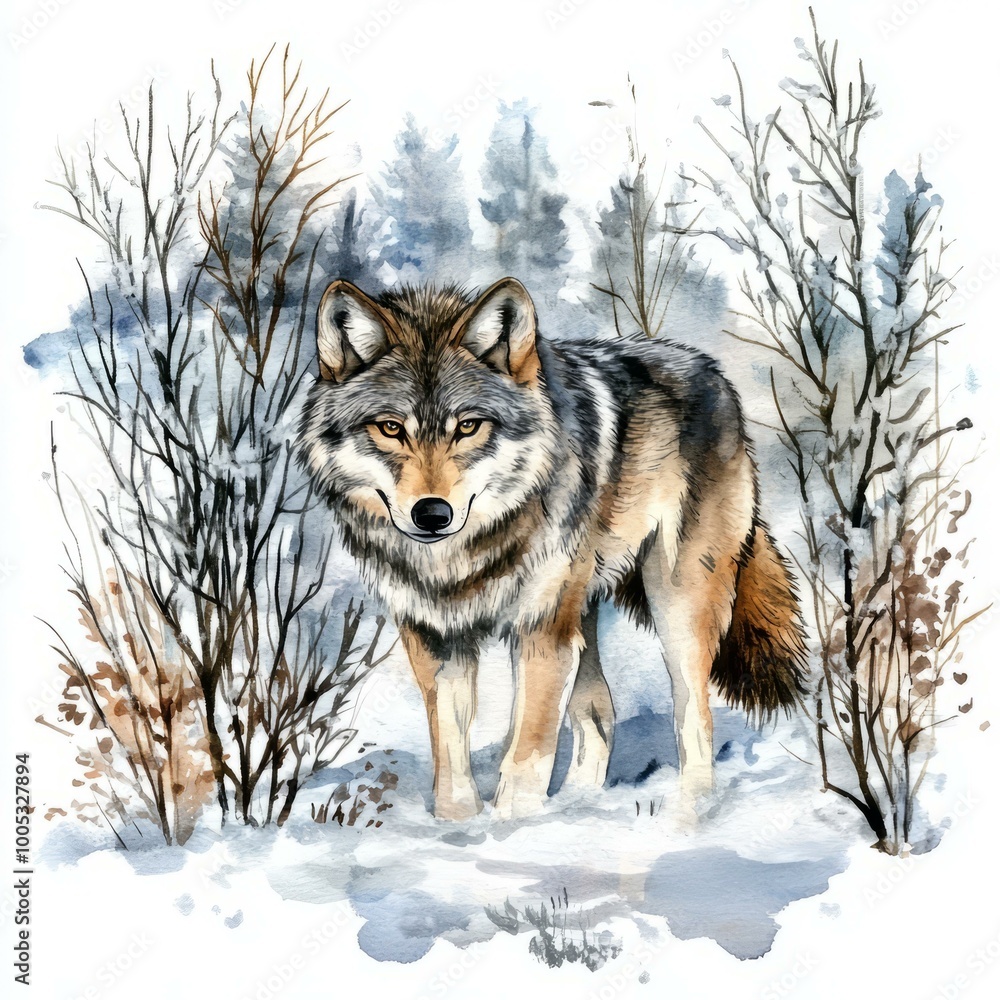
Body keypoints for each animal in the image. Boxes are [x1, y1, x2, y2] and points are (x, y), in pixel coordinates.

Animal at [299, 276, 806, 821]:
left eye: (468, 426)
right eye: (391, 428)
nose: (432, 514)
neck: (464, 557)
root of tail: (710, 371)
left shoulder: (539, 630)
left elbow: (528, 751)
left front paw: (511, 826)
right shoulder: (437, 638)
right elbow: (451, 755)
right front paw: (461, 825)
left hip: (674, 604)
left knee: (694, 715)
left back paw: (689, 814)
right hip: (581, 614)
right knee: (600, 711)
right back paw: (582, 807)